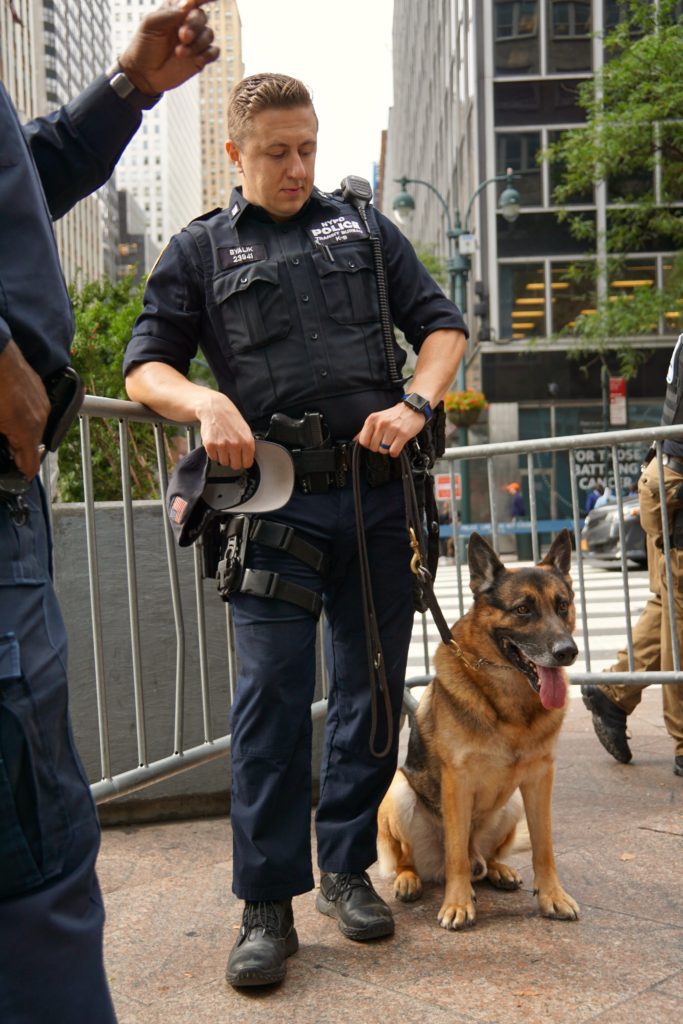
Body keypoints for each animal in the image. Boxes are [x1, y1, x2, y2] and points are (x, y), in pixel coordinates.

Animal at [376, 532, 581, 933]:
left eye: (562, 605)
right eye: (523, 609)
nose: (568, 652)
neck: (512, 705)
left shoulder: (540, 779)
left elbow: (543, 846)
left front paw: (552, 896)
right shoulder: (458, 781)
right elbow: (455, 849)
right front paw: (457, 904)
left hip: (511, 804)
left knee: (486, 859)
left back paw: (499, 870)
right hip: (398, 791)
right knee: (418, 859)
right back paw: (410, 879)